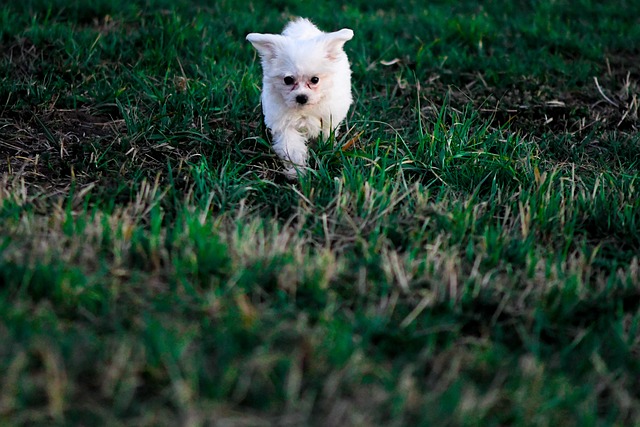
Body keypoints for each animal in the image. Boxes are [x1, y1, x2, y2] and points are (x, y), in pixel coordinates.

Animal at [246, 18, 356, 179]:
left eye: (315, 80)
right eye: (288, 80)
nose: (301, 97)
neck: (304, 111)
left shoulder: (327, 119)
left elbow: (325, 137)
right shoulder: (285, 125)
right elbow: (292, 149)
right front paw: (296, 172)